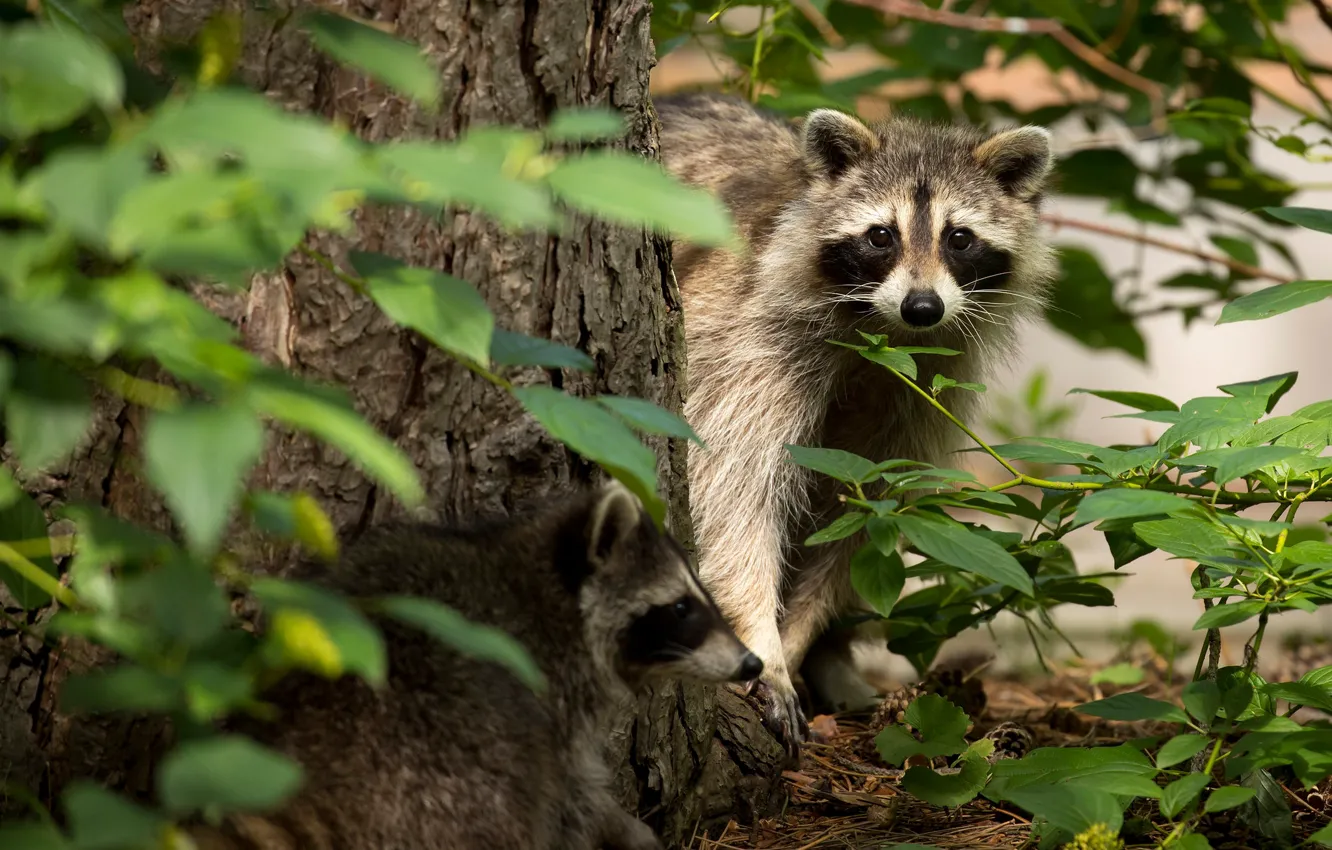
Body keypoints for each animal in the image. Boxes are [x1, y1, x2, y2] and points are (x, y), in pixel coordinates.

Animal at [185, 480, 761, 850]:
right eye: (681, 608)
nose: (751, 664)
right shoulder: (552, 681)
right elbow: (572, 792)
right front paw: (618, 826)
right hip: (452, 780)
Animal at [656, 93, 1056, 751]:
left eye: (960, 238)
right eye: (880, 236)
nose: (923, 307)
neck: (882, 331)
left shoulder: (921, 384)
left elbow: (867, 512)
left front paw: (798, 640)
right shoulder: (743, 340)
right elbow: (732, 492)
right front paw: (760, 636)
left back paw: (834, 658)